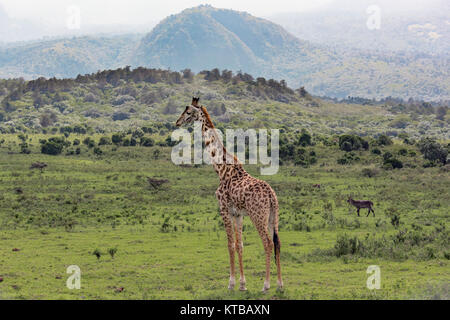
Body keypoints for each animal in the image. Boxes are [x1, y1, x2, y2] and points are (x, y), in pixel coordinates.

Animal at [175, 96, 284, 292]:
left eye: (187, 111)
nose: (177, 122)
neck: (220, 168)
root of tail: (272, 196)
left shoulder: (224, 209)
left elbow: (230, 245)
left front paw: (231, 283)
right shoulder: (237, 214)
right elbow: (240, 245)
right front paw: (242, 284)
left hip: (258, 215)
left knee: (268, 242)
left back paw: (266, 285)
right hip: (274, 216)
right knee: (277, 243)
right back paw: (280, 284)